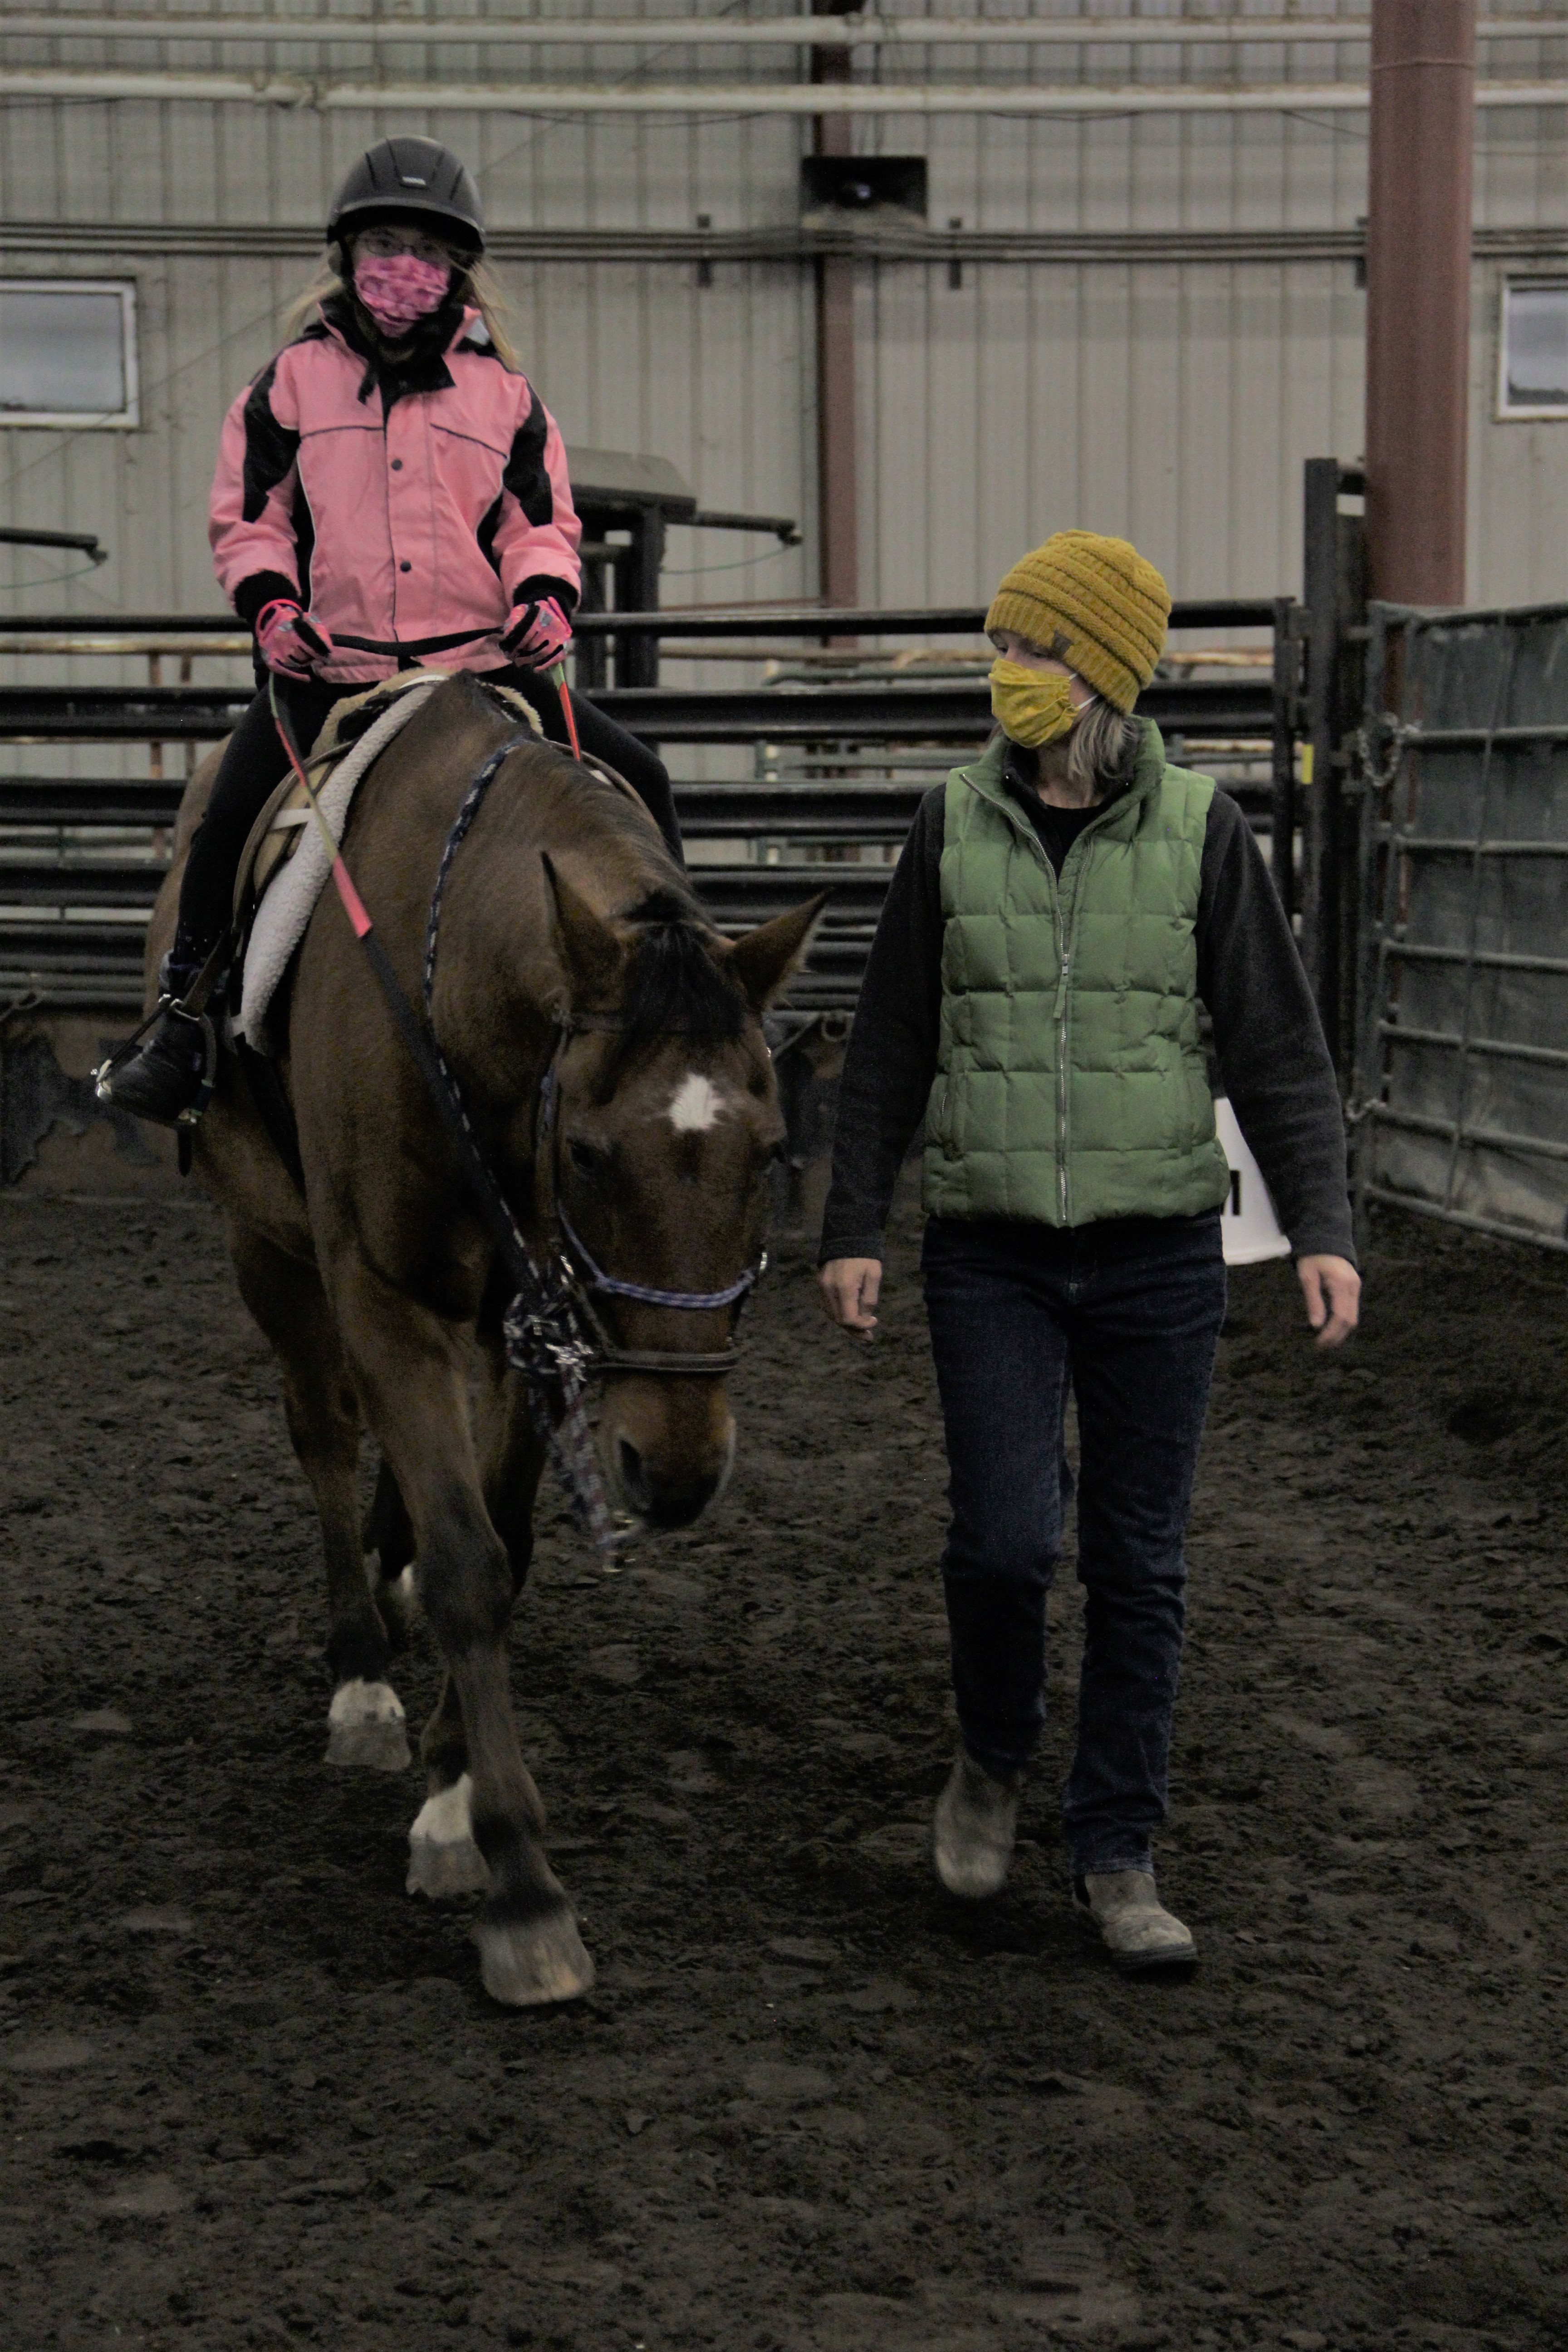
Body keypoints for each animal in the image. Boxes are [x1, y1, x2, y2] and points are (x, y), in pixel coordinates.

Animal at [147, 677, 823, 2004]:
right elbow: (466, 1558)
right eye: (593, 1154)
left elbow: (497, 1548)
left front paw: (455, 1798)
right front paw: (518, 1882)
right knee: (322, 1432)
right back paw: (361, 1673)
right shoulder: (382, 1293)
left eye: (771, 1151)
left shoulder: (532, 1313)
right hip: (272, 1249)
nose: (676, 1470)